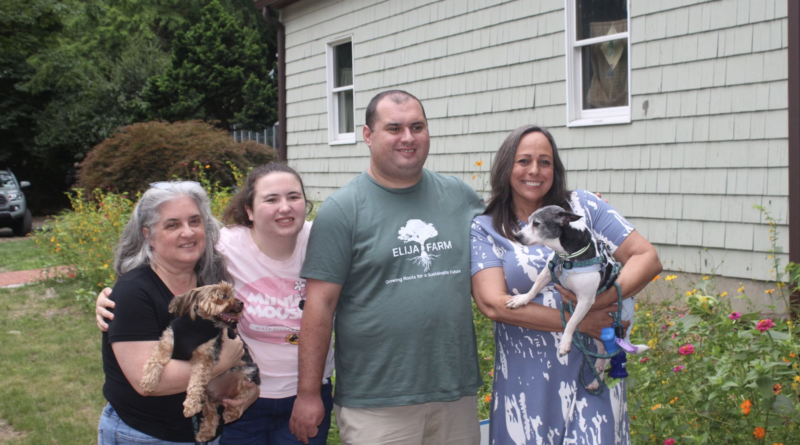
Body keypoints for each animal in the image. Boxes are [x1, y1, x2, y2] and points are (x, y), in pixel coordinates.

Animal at [140, 280, 260, 440]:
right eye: (224, 295)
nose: (241, 303)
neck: (197, 324)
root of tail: (222, 396)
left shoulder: (204, 358)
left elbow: (195, 382)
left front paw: (190, 405)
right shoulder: (167, 344)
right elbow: (154, 360)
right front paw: (149, 382)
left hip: (245, 374)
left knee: (241, 395)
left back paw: (231, 412)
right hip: (208, 396)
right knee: (211, 414)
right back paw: (205, 432)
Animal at [510, 205, 648, 388]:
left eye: (537, 223)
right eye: (528, 221)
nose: (516, 236)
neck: (567, 256)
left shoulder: (585, 300)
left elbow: (571, 322)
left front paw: (565, 343)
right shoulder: (547, 273)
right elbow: (533, 289)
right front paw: (522, 299)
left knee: (608, 357)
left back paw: (597, 380)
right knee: (601, 356)